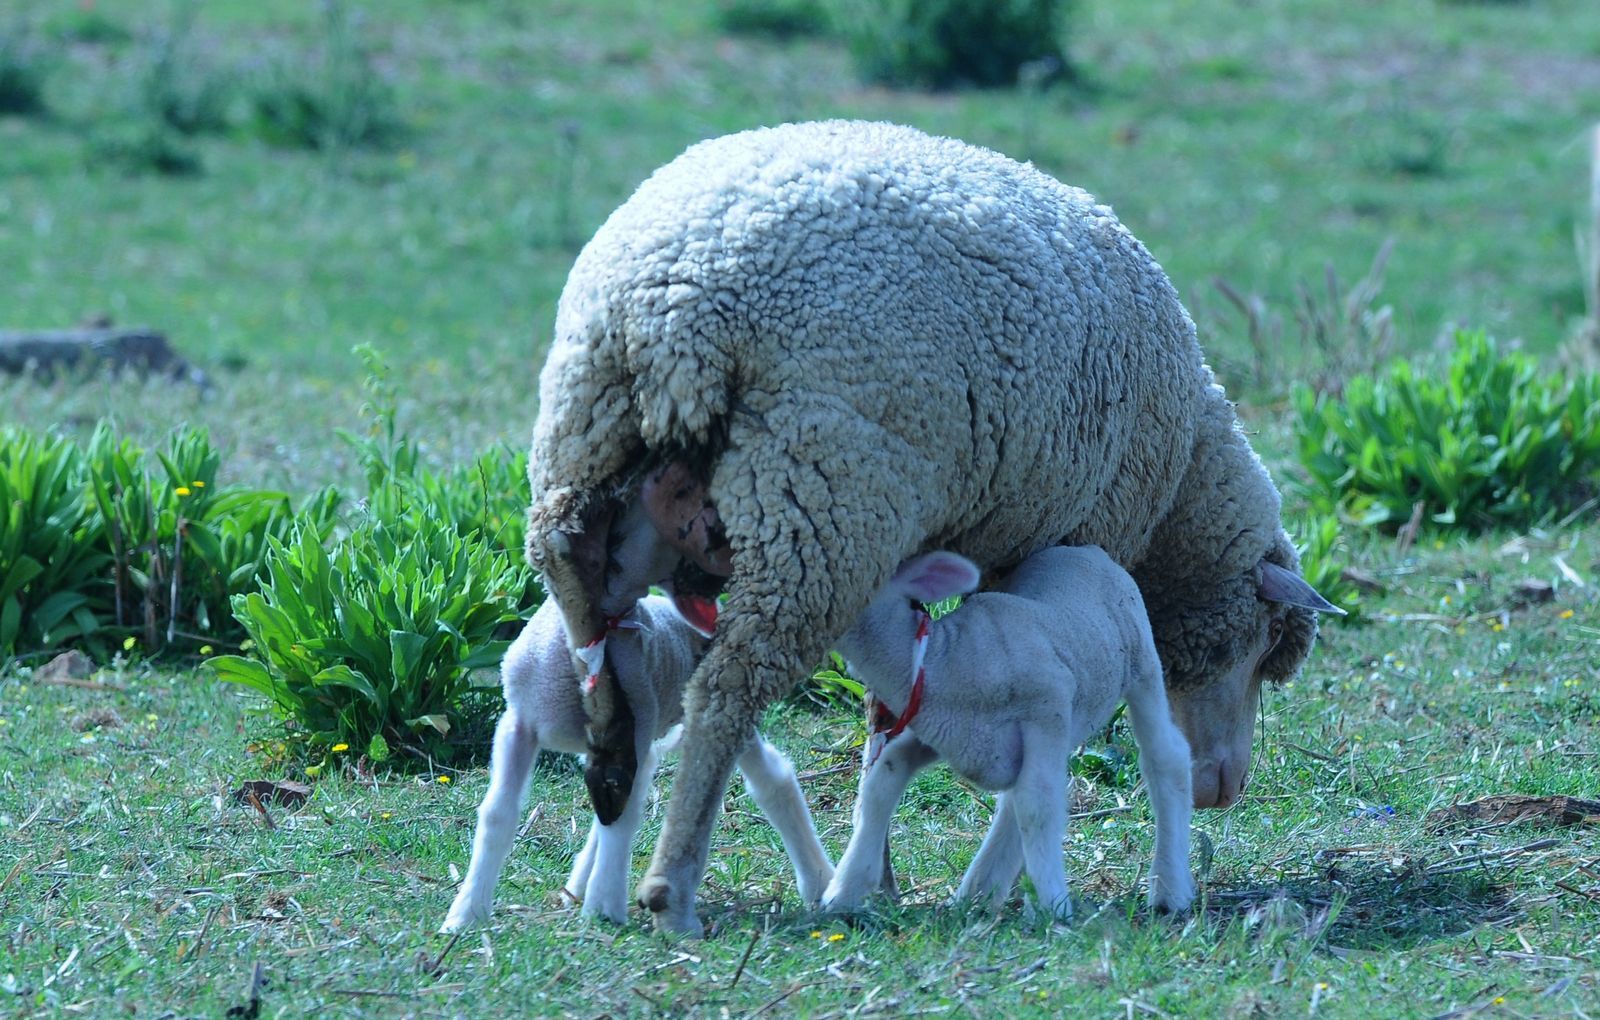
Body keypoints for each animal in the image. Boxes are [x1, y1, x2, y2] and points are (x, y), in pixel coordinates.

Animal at [440, 595, 833, 931]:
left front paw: (604, 909)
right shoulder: (518, 725)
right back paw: (578, 885)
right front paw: (465, 914)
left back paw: (819, 881)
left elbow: (621, 822)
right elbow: (497, 814)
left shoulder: (635, 734)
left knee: (773, 777)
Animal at [821, 547, 1195, 919]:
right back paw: (978, 892)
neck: (944, 658)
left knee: (1167, 757)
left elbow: (1037, 806)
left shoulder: (1046, 711)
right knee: (1010, 804)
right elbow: (883, 778)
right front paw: (845, 888)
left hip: (1140, 661)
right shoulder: (949, 733)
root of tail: (1086, 550)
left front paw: (1052, 905)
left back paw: (1170, 889)